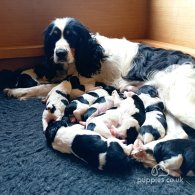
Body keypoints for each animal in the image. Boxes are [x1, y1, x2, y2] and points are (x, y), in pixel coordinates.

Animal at [4, 17, 195, 133]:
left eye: (72, 37)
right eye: (54, 37)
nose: (60, 53)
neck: (90, 53)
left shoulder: (83, 80)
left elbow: (45, 86)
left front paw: (16, 91)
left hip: (180, 104)